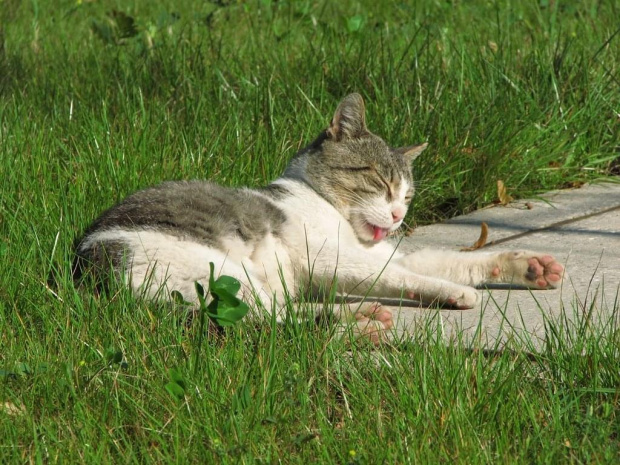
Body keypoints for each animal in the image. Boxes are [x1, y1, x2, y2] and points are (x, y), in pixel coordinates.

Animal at [74, 92, 568, 342]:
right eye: (380, 181)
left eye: (407, 195)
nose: (396, 214)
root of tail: (88, 279)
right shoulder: (331, 257)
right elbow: (403, 274)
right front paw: (455, 293)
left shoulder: (383, 253)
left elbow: (445, 260)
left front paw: (526, 266)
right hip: (217, 271)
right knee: (271, 321)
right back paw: (362, 323)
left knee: (283, 311)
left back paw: (361, 316)